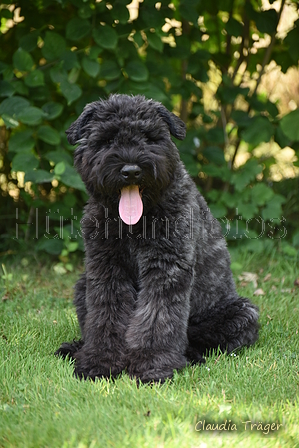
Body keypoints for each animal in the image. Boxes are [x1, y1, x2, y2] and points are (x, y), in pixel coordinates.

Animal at [55, 94, 260, 382]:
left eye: (149, 137)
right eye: (107, 139)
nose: (131, 170)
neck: (134, 224)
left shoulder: (166, 268)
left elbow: (158, 318)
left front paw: (152, 364)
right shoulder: (106, 269)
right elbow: (105, 315)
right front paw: (100, 361)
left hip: (241, 313)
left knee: (200, 339)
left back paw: (189, 356)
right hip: (82, 285)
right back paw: (75, 348)